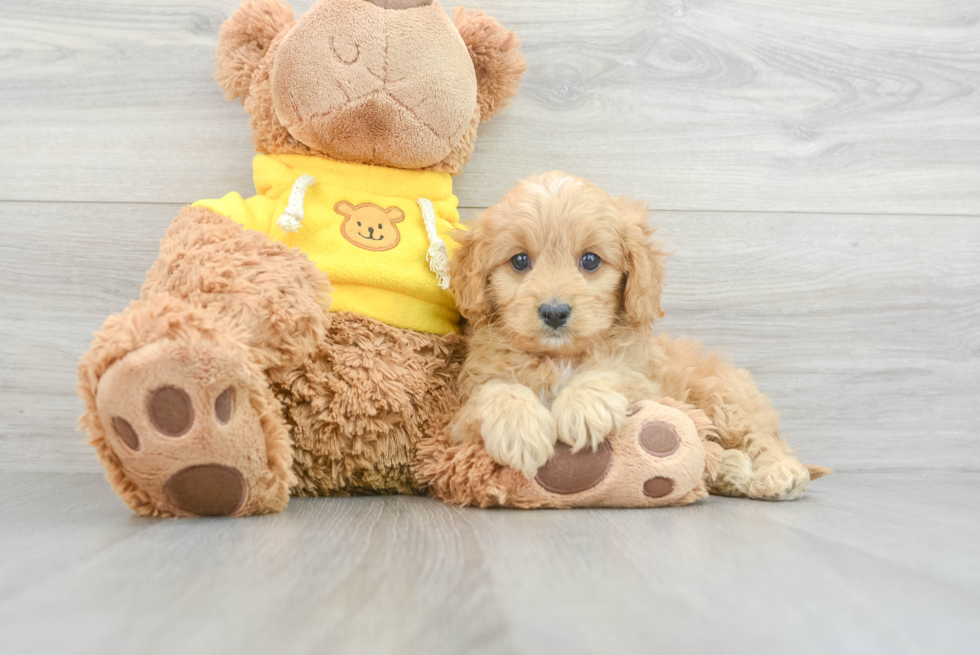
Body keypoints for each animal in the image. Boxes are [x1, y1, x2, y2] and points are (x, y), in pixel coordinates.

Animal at [448, 172, 824, 500]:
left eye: (590, 260)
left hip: (725, 398)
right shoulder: (462, 410)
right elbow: (495, 391)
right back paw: (732, 470)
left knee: (765, 440)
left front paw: (584, 407)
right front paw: (518, 427)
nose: (554, 312)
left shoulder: (648, 384)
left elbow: (613, 374)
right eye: (520, 261)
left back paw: (778, 473)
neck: (560, 357)